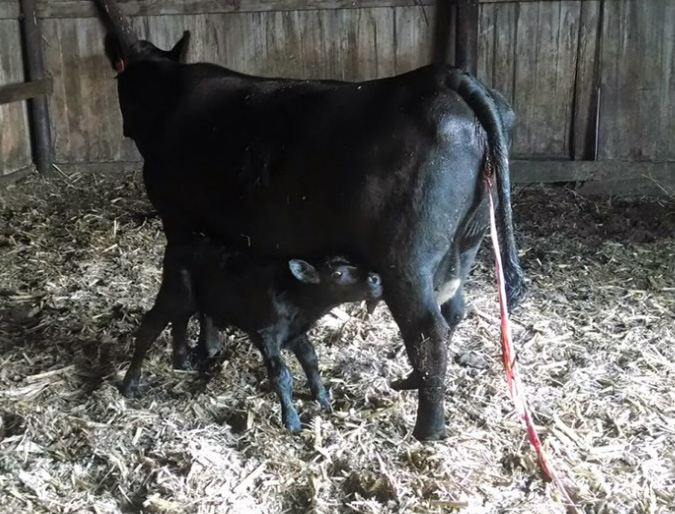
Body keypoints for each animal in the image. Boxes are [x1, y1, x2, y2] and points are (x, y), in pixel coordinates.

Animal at [123, 235, 382, 428]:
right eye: (337, 274)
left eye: (353, 263)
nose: (376, 278)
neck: (297, 299)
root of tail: (180, 242)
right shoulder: (265, 334)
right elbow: (281, 374)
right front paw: (291, 419)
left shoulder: (295, 332)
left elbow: (310, 358)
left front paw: (323, 398)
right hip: (173, 291)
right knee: (149, 327)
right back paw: (130, 384)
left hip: (189, 298)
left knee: (180, 320)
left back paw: (182, 361)